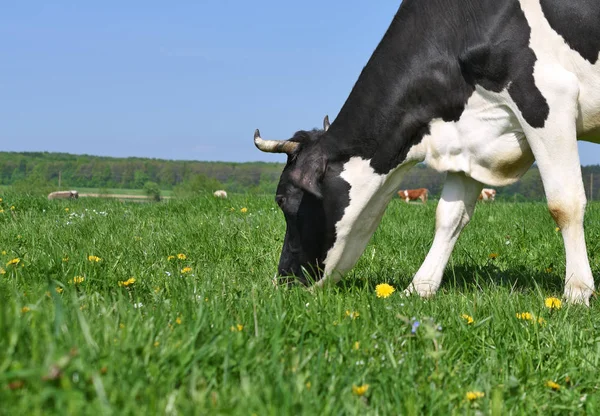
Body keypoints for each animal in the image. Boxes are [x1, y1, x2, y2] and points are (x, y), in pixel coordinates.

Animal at [254, 0, 600, 306]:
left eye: (282, 200)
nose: (283, 280)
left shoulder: (547, 95)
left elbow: (564, 205)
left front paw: (577, 292)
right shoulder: (468, 142)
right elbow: (449, 217)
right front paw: (419, 288)